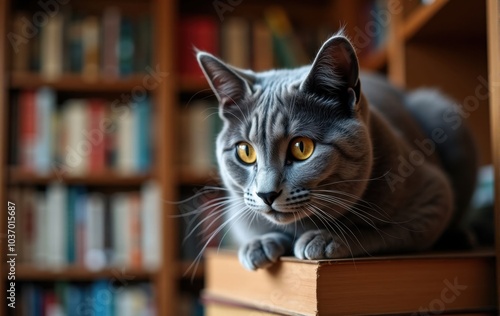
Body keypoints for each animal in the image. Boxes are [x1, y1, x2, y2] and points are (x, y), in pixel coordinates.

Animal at [195, 33, 476, 270]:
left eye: (301, 148)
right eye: (245, 151)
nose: (266, 194)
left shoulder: (433, 198)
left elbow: (379, 230)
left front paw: (325, 238)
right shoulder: (237, 213)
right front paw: (259, 244)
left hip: (439, 110)